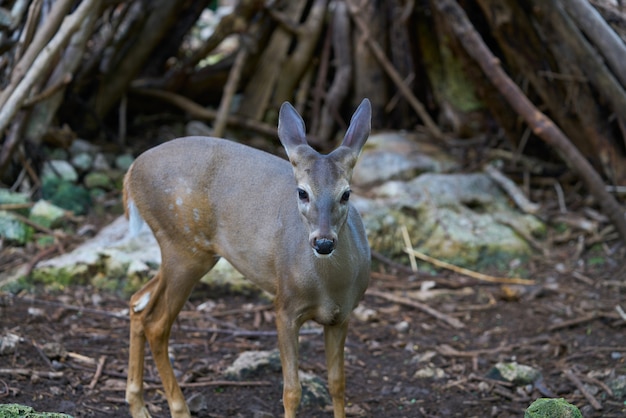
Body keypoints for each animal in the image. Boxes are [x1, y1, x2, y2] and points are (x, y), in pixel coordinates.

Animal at [123, 99, 370, 418]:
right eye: (302, 192)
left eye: (346, 194)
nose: (324, 242)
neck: (329, 287)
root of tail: (131, 171)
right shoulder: (285, 306)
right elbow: (292, 391)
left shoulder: (342, 315)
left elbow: (337, 384)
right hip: (184, 247)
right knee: (156, 323)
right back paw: (179, 409)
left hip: (183, 250)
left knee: (137, 302)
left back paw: (138, 405)